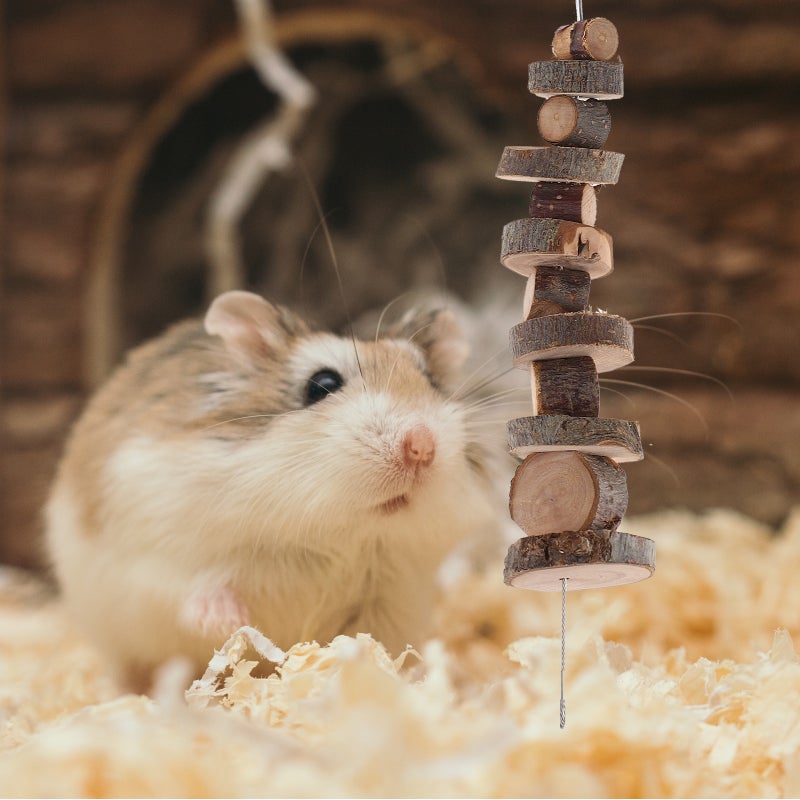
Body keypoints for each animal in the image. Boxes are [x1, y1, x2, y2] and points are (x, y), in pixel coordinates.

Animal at [46, 290, 496, 691]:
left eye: (430, 381)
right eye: (322, 384)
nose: (421, 446)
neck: (338, 534)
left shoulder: (391, 597)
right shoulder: (160, 554)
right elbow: (195, 590)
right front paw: (232, 623)